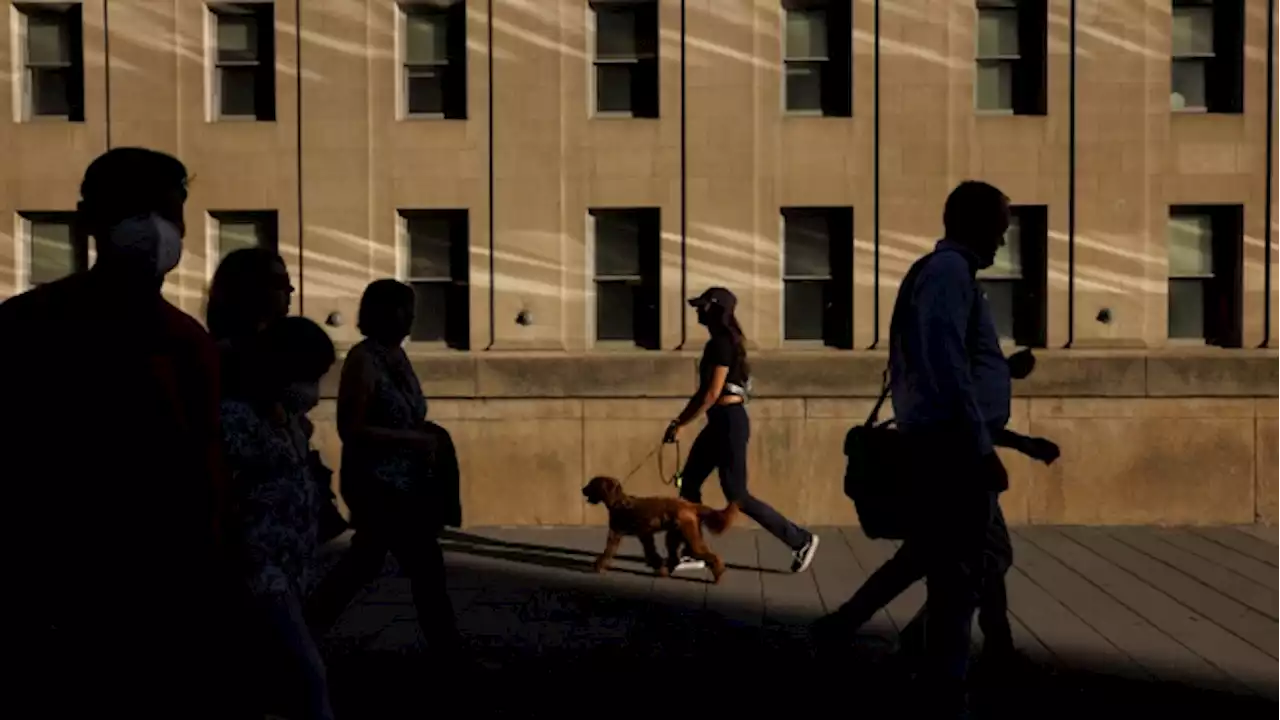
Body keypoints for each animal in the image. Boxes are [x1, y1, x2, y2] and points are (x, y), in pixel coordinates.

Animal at [583, 474, 742, 579]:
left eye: (591, 484)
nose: (582, 489)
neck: (618, 503)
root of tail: (689, 505)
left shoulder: (618, 534)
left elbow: (607, 552)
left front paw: (598, 566)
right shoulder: (641, 535)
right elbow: (651, 553)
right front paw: (659, 567)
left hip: (689, 536)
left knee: (711, 555)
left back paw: (719, 573)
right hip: (676, 535)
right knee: (676, 555)